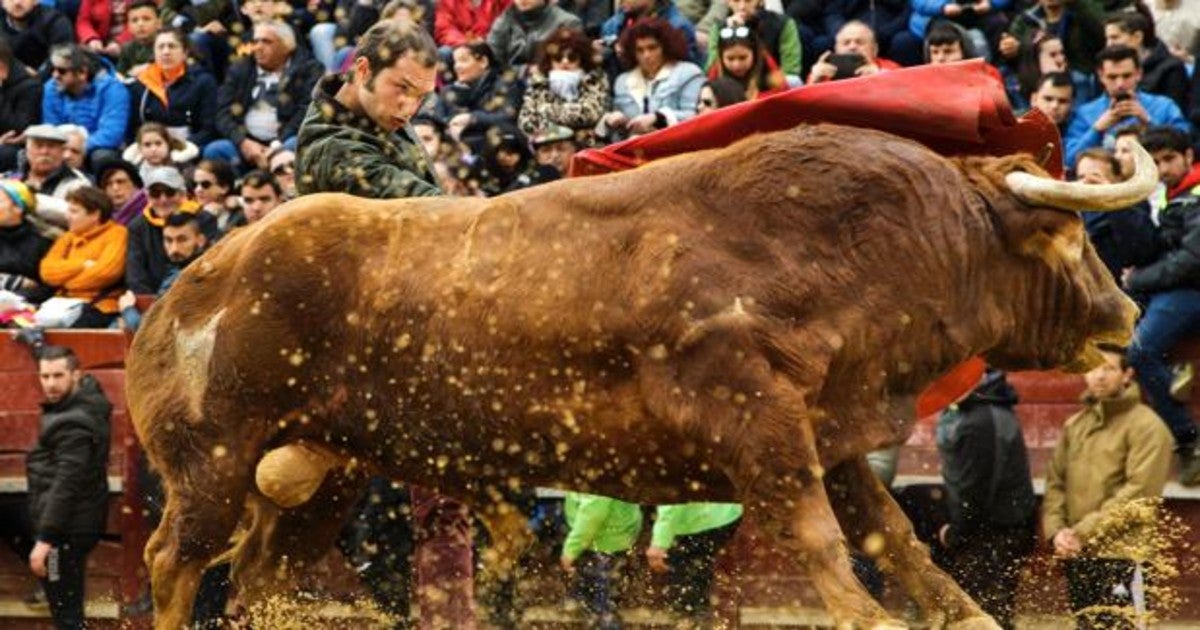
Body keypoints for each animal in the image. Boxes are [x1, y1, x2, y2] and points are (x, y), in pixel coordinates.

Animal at [129, 125, 1152, 624]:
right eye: (1067, 237)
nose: (1129, 318)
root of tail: (192, 283)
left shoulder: (829, 438)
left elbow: (893, 537)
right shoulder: (763, 433)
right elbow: (822, 543)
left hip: (325, 475)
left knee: (262, 573)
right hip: (214, 460)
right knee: (174, 561)